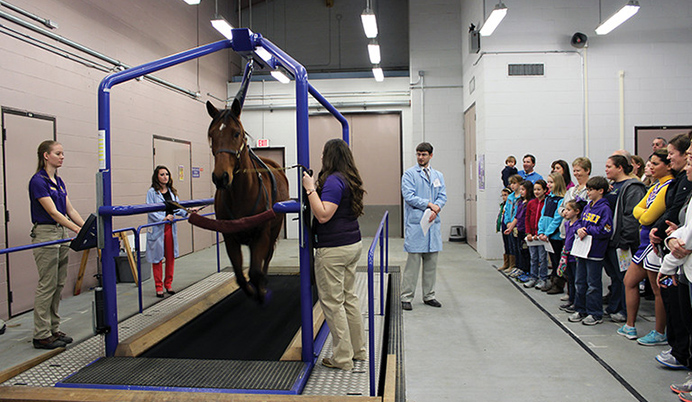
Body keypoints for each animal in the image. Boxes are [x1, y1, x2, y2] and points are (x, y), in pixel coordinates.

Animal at [207, 74, 290, 302]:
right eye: (211, 135)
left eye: (237, 133)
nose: (220, 177)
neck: (241, 193)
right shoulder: (230, 238)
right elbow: (240, 276)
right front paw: (252, 291)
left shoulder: (261, 235)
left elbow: (255, 271)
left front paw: (260, 292)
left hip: (273, 231)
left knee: (266, 259)